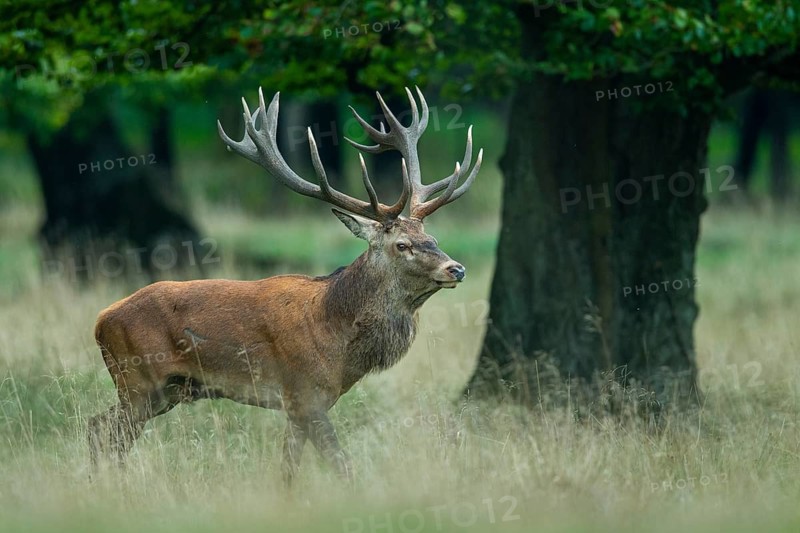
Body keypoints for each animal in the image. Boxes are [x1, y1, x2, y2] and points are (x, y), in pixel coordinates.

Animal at [88, 86, 482, 486]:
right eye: (402, 245)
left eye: (432, 238)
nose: (456, 268)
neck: (337, 337)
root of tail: (101, 321)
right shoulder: (305, 393)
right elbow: (341, 463)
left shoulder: (300, 405)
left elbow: (288, 468)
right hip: (139, 381)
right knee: (103, 430)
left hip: (165, 390)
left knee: (100, 426)